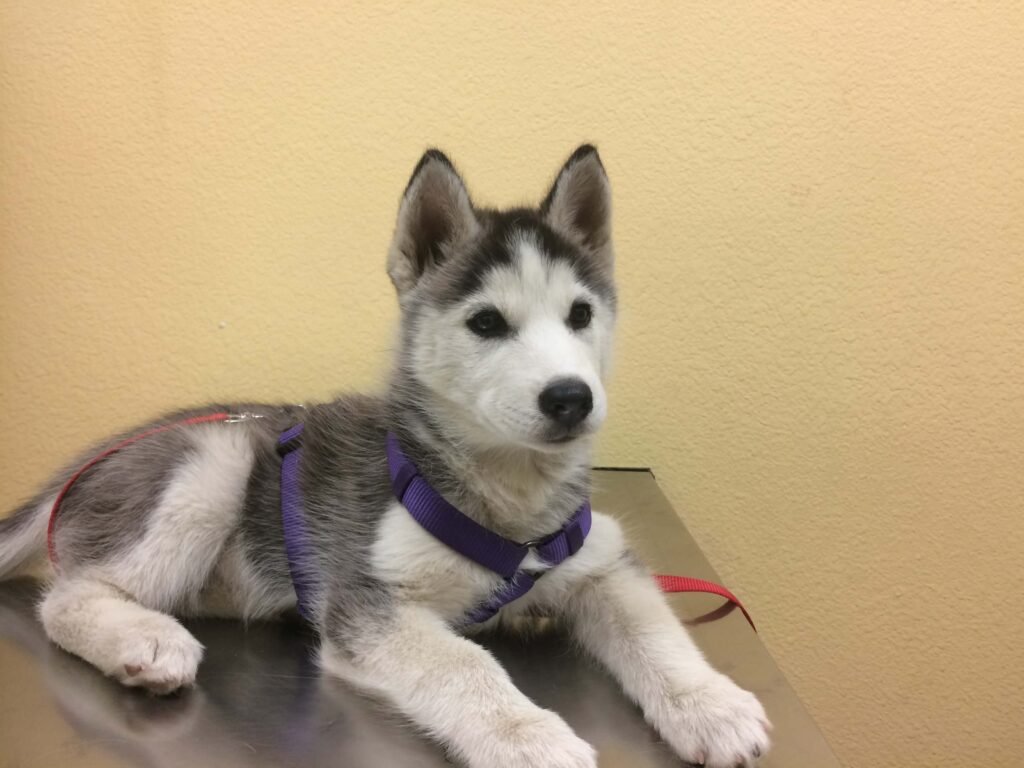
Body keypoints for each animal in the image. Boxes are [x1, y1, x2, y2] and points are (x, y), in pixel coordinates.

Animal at [0, 148, 770, 768]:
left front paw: (711, 704)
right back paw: (144, 640)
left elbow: (655, 629)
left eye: (581, 314)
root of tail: (109, 448)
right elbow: (464, 662)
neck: (508, 501)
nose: (570, 398)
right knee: (67, 596)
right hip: (213, 463)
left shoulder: (599, 557)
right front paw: (528, 736)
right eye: (486, 322)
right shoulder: (366, 602)